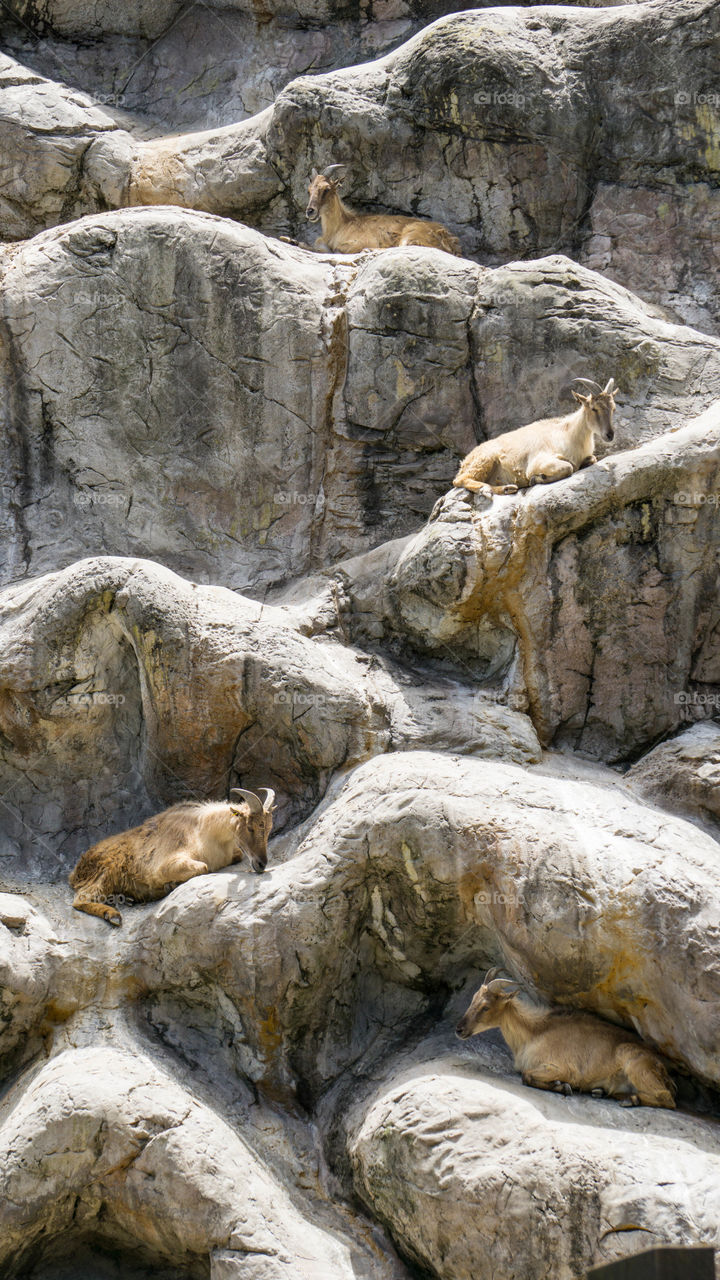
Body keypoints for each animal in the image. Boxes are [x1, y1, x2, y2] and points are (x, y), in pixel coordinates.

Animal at [69, 787, 275, 927]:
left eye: (268, 829)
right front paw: (170, 885)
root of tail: (75, 872)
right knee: (81, 899)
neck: (204, 830)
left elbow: (236, 856)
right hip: (105, 870)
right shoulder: (166, 864)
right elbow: (203, 867)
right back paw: (112, 915)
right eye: (250, 827)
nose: (261, 864)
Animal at [305, 165, 461, 256]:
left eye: (327, 189)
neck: (340, 225)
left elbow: (338, 249)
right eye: (309, 190)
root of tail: (449, 240)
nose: (310, 211)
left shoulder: (359, 242)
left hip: (411, 235)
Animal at [453, 378, 617, 496]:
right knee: (460, 480)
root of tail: (464, 462)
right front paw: (536, 478)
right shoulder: (539, 461)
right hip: (486, 459)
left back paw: (508, 488)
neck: (568, 434)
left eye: (613, 408)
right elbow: (568, 467)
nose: (610, 435)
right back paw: (486, 489)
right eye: (594, 408)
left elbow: (591, 459)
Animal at [456, 968, 676, 1109]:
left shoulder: (562, 1068)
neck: (535, 1032)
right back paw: (605, 1092)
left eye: (485, 1007)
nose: (459, 1029)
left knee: (666, 1098)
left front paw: (563, 1086)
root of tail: (664, 1072)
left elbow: (527, 1076)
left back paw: (631, 1100)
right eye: (473, 999)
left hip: (635, 1065)